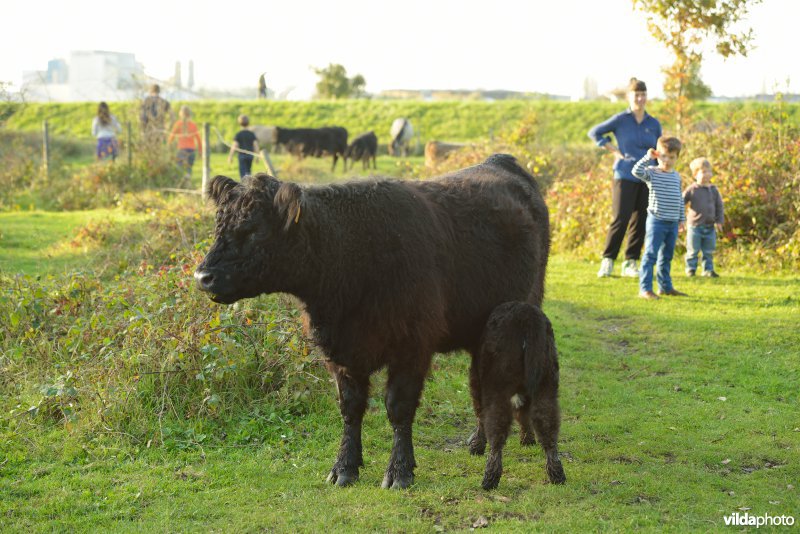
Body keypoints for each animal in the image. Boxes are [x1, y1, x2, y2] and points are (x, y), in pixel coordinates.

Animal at [192, 154, 564, 490]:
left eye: (254, 230)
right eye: (218, 224)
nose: (203, 277)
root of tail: (501, 160)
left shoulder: (412, 347)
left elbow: (398, 409)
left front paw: (399, 472)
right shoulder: (340, 353)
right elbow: (351, 408)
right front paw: (344, 468)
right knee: (479, 383)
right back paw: (479, 441)